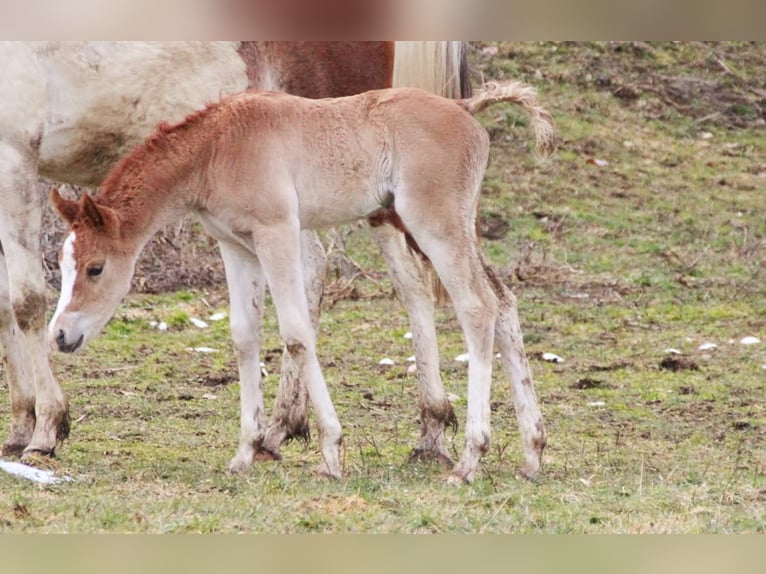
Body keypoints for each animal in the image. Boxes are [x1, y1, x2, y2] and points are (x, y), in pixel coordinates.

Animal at [49, 81, 553, 483]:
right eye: (62, 263)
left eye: (95, 268)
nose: (60, 336)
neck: (217, 148)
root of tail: (466, 107)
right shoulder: (235, 246)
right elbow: (244, 337)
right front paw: (244, 453)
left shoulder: (277, 233)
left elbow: (296, 333)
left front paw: (330, 452)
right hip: (454, 228)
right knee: (504, 302)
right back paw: (532, 454)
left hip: (434, 225)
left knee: (477, 306)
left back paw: (470, 460)